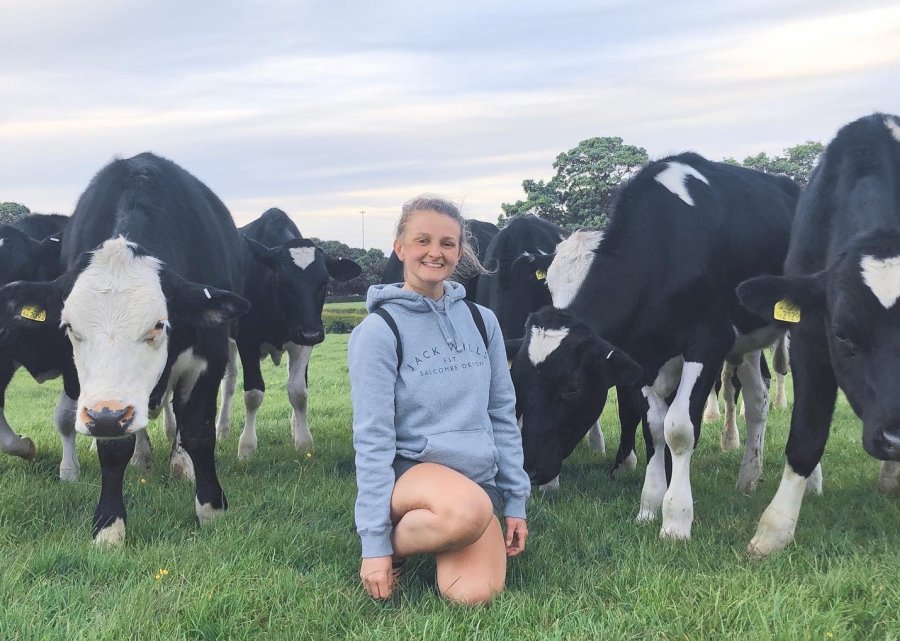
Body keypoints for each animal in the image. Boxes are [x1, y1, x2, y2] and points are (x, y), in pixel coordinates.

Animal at [216, 208, 360, 458]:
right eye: (283, 281)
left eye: (324, 282)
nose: (312, 333)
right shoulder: (247, 342)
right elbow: (253, 394)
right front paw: (246, 447)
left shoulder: (303, 342)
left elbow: (298, 392)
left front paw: (303, 443)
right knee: (230, 381)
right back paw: (222, 430)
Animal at [510, 152, 800, 536]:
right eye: (519, 380)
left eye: (572, 388)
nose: (530, 468)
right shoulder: (644, 356)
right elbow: (655, 426)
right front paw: (649, 505)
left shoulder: (707, 343)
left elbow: (679, 429)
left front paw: (676, 519)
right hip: (746, 343)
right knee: (756, 400)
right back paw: (748, 477)